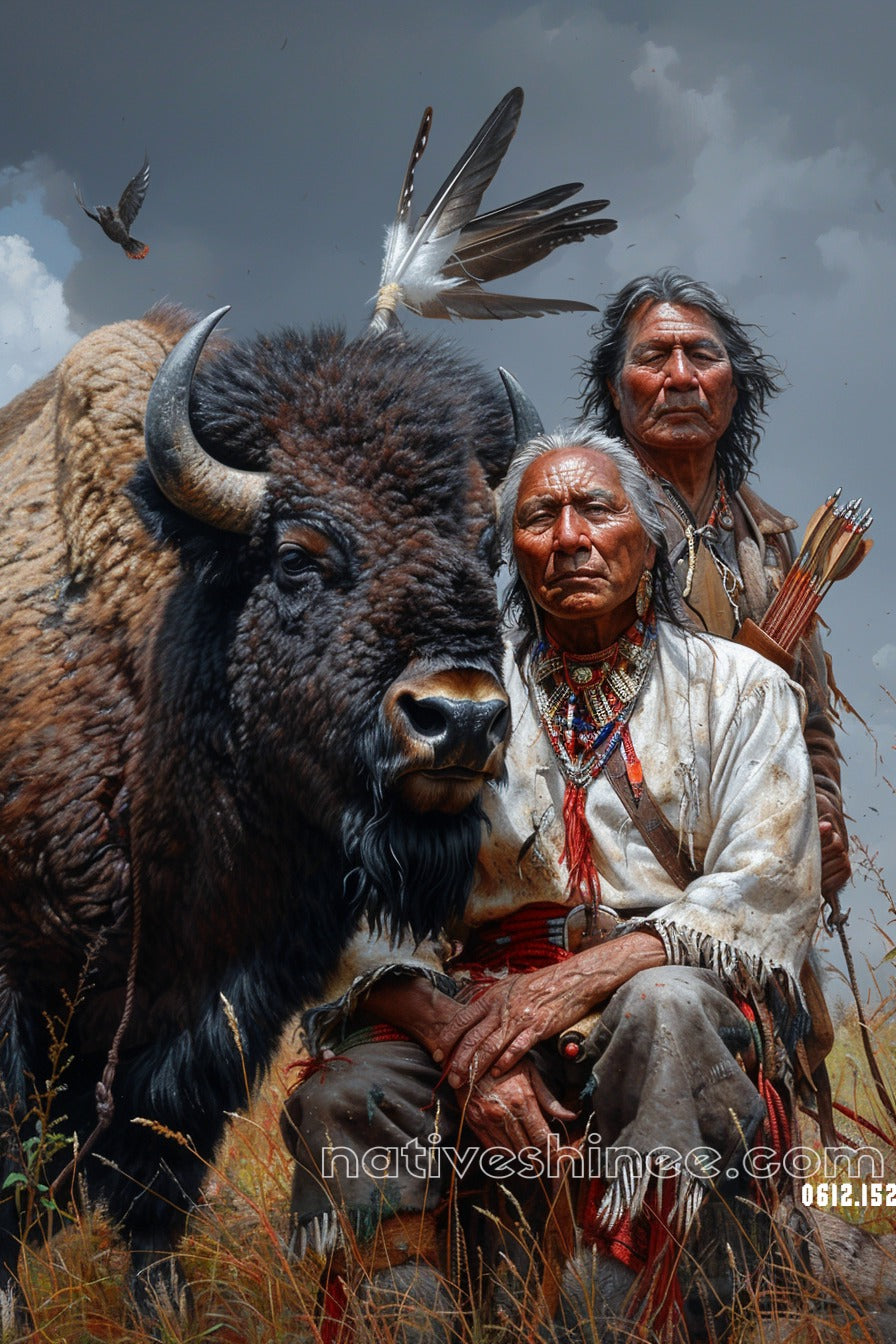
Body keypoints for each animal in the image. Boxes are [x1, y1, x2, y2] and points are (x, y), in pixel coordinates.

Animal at [0, 302, 515, 1313]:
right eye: (297, 557)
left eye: (486, 551)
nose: (463, 718)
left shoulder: (221, 1007)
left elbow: (158, 1177)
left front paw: (165, 1308)